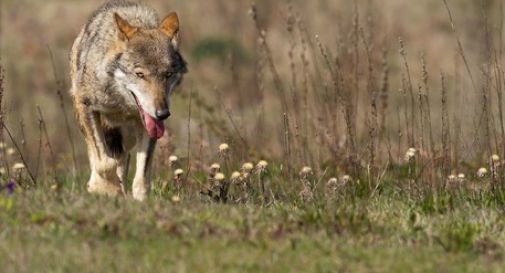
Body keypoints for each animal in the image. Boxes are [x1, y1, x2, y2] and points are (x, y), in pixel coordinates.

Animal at [70, 0, 188, 200]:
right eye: (140, 74)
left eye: (168, 74)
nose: (162, 113)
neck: (120, 103)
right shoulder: (86, 106)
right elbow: (104, 162)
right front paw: (107, 189)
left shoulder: (148, 124)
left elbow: (142, 178)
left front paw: (139, 199)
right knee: (101, 156)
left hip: (128, 136)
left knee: (124, 158)